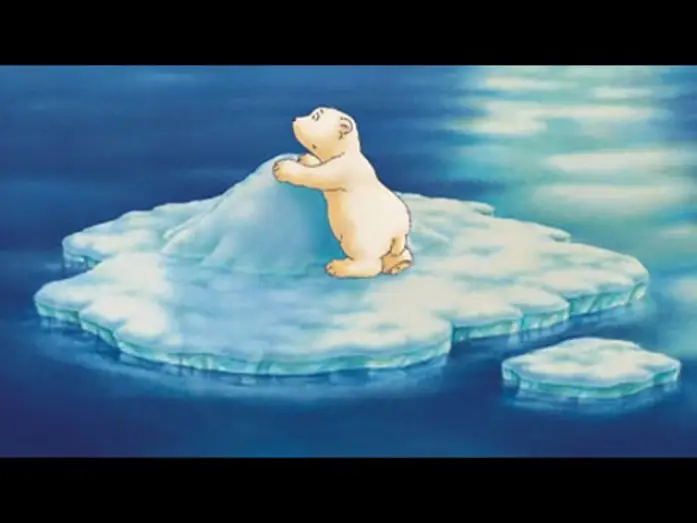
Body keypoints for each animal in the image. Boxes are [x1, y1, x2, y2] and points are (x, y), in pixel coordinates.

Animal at [272, 106, 413, 279]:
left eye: (316, 116)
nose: (294, 119)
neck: (346, 151)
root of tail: (398, 230)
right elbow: (318, 165)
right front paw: (306, 158)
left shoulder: (343, 168)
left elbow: (317, 176)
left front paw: (282, 167)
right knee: (397, 252)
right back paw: (399, 265)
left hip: (362, 233)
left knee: (367, 260)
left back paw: (339, 267)